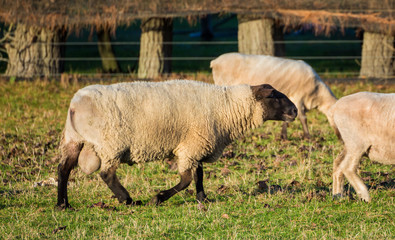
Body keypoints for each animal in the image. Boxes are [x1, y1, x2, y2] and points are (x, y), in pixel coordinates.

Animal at [55, 79, 296, 208]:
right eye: (274, 96)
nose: (294, 110)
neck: (225, 108)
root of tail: (74, 105)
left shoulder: (197, 144)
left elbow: (199, 175)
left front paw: (203, 199)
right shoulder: (191, 146)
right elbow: (187, 180)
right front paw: (158, 198)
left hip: (74, 139)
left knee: (63, 169)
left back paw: (62, 205)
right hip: (111, 143)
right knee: (107, 174)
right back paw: (128, 200)